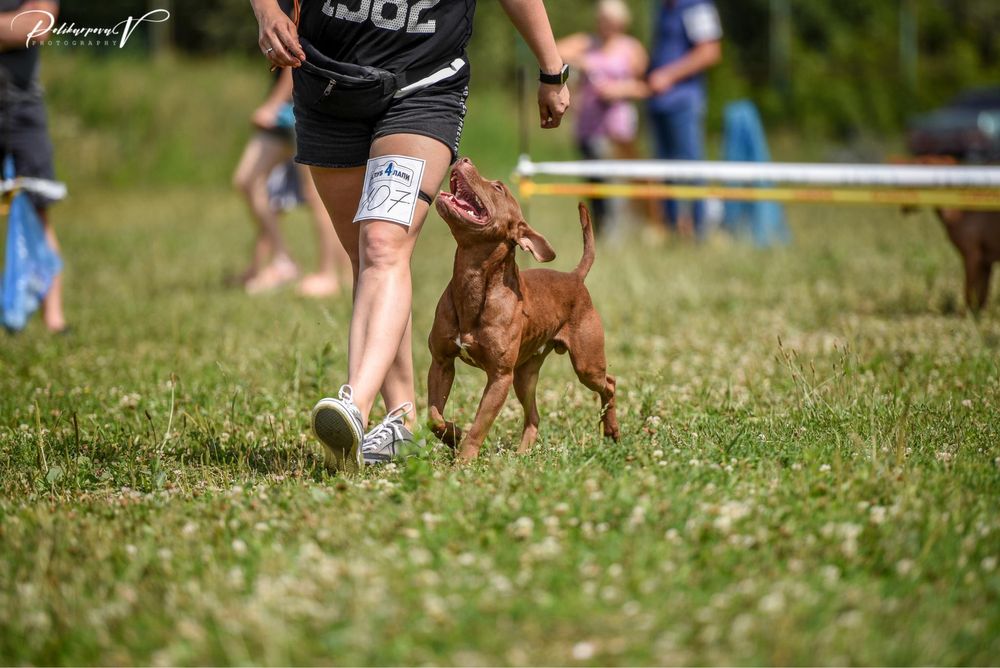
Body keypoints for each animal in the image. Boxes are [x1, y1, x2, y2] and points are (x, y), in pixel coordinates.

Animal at [428, 158, 620, 460]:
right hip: (525, 375)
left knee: (609, 383)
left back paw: (611, 429)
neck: (473, 281)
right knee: (534, 416)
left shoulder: (499, 378)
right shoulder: (441, 361)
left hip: (586, 364)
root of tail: (575, 277)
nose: (464, 159)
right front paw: (453, 435)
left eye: (498, 187)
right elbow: (433, 416)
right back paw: (522, 454)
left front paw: (464, 460)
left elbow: (479, 427)